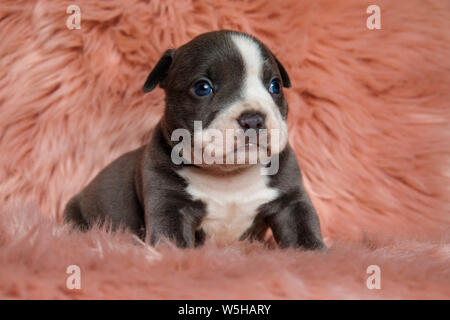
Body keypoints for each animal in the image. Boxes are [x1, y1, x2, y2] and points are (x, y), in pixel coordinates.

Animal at [65, 30, 326, 250]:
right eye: (203, 88)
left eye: (275, 86)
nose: (253, 119)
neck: (229, 175)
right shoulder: (169, 205)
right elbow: (173, 241)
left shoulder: (290, 202)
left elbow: (303, 232)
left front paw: (314, 253)